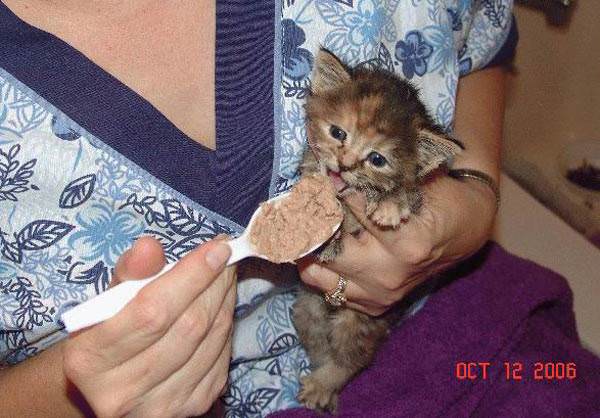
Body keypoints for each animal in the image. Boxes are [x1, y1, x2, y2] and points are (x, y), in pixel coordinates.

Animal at [292, 50, 462, 414]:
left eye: (377, 159)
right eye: (338, 133)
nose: (345, 164)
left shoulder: (417, 195)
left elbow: (408, 191)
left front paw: (390, 204)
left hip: (359, 321)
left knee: (353, 359)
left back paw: (324, 384)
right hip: (308, 309)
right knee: (320, 344)